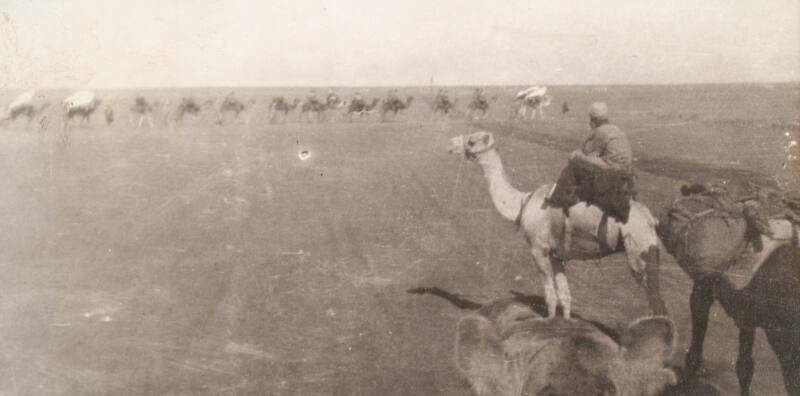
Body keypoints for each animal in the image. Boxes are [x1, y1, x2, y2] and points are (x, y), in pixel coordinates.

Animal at [446, 131, 664, 320]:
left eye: (472, 141)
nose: (450, 144)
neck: (523, 203)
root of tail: (651, 219)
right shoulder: (558, 255)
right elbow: (565, 297)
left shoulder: (538, 250)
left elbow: (550, 298)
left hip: (639, 250)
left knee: (656, 303)